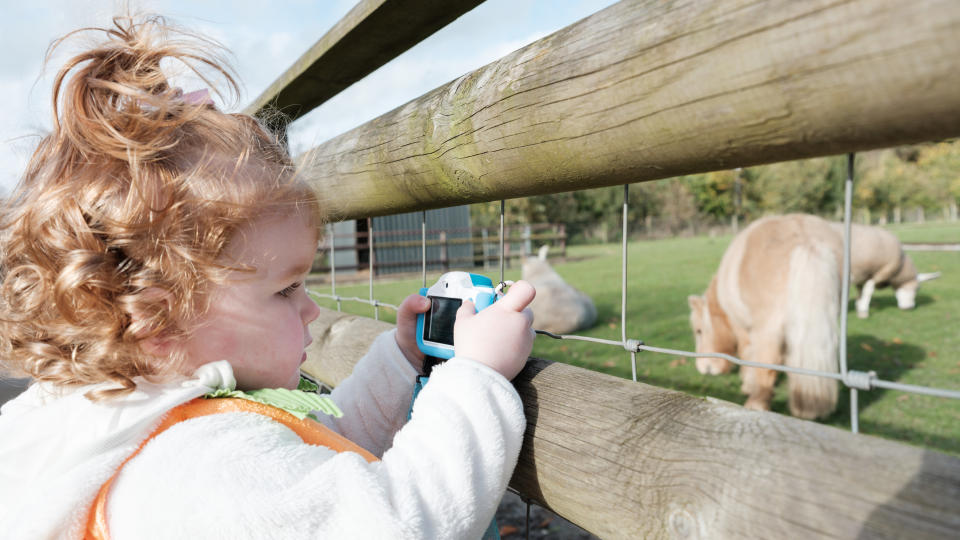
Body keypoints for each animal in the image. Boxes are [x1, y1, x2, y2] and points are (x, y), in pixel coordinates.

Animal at [688, 213, 840, 420]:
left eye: (699, 331)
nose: (704, 367)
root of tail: (806, 239)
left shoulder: (743, 329)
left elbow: (747, 355)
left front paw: (747, 384)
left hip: (767, 329)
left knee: (767, 361)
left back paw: (756, 404)